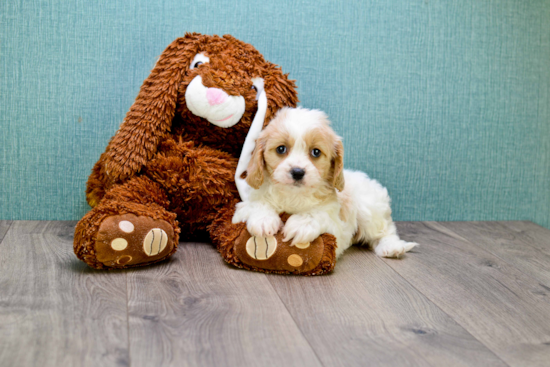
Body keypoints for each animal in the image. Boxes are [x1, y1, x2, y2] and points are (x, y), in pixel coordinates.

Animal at [233, 107, 418, 258]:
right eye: (281, 149)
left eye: (316, 152)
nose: (297, 172)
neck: (294, 195)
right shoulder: (242, 208)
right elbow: (258, 204)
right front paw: (263, 219)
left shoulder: (336, 225)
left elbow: (318, 213)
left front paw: (302, 224)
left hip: (369, 209)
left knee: (386, 230)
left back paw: (391, 247)